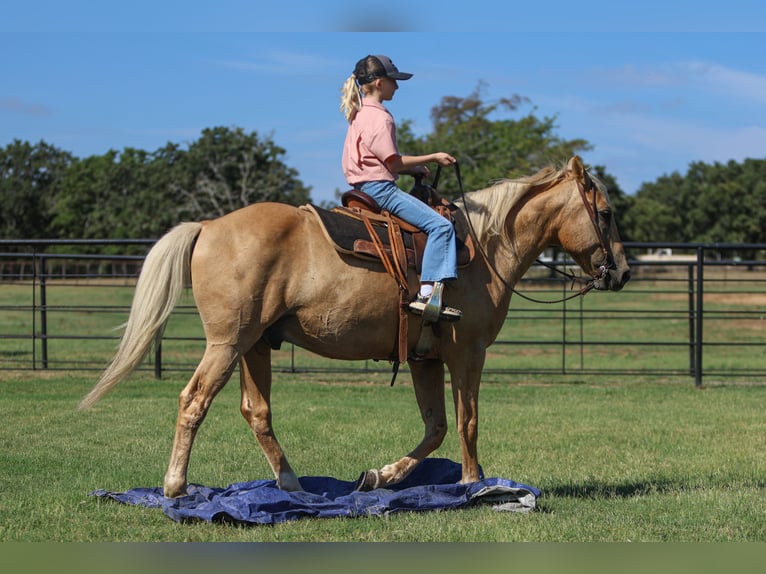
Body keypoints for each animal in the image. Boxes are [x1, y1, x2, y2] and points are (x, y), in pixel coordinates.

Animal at [79, 155, 632, 498]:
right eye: (605, 214)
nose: (623, 272)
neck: (482, 246)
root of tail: (209, 226)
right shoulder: (467, 352)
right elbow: (467, 421)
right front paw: (475, 484)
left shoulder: (424, 358)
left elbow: (436, 427)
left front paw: (379, 477)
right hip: (227, 343)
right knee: (194, 400)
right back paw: (175, 486)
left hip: (255, 345)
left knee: (256, 411)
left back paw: (294, 487)